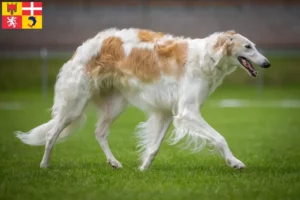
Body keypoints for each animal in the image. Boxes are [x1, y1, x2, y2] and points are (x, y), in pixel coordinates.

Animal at [15, 27, 270, 170]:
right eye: (248, 46)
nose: (267, 63)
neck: (206, 57)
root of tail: (82, 47)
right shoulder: (187, 112)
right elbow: (220, 138)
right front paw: (235, 162)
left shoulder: (166, 112)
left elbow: (154, 147)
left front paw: (143, 168)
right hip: (75, 105)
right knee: (51, 134)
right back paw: (44, 165)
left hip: (115, 104)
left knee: (99, 132)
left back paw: (114, 162)